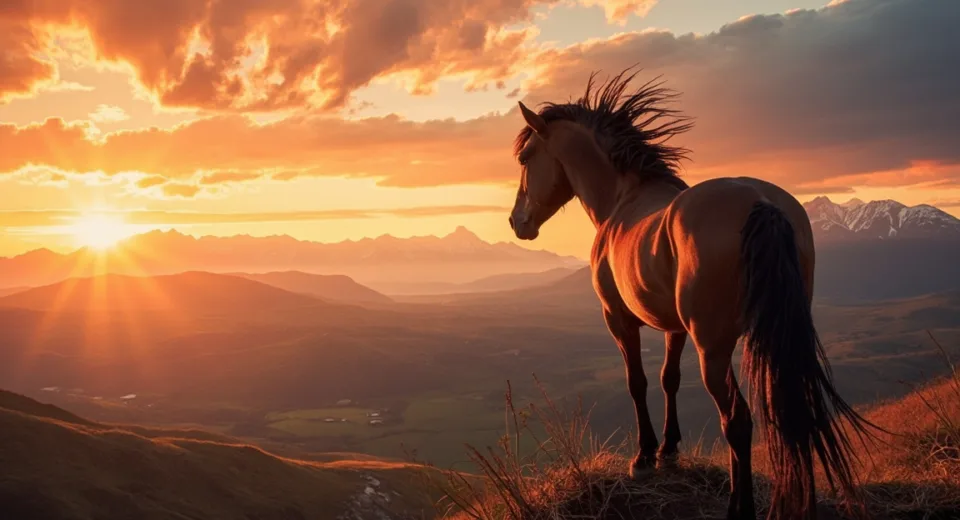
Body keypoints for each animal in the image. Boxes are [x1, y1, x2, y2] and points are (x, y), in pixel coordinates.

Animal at [507, 69, 872, 520]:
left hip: (713, 348)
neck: (622, 200)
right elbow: (669, 379)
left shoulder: (618, 319)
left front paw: (645, 457)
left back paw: (738, 507)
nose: (517, 222)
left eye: (525, 159)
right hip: (772, 336)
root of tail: (762, 203)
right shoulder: (674, 326)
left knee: (737, 420)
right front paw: (668, 450)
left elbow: (638, 381)